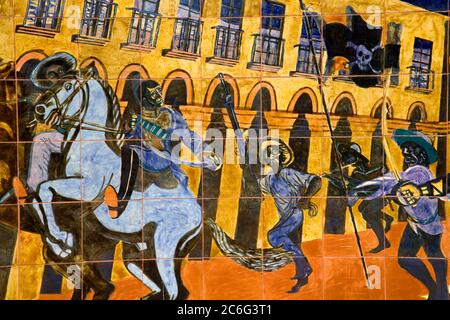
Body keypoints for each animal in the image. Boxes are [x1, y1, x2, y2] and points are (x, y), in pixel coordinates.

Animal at [31, 72, 211, 300]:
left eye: (68, 86)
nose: (40, 109)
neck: (92, 147)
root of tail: (199, 214)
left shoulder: (88, 188)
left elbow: (44, 190)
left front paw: (60, 238)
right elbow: (39, 197)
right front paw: (61, 243)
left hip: (165, 246)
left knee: (173, 291)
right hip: (139, 252)